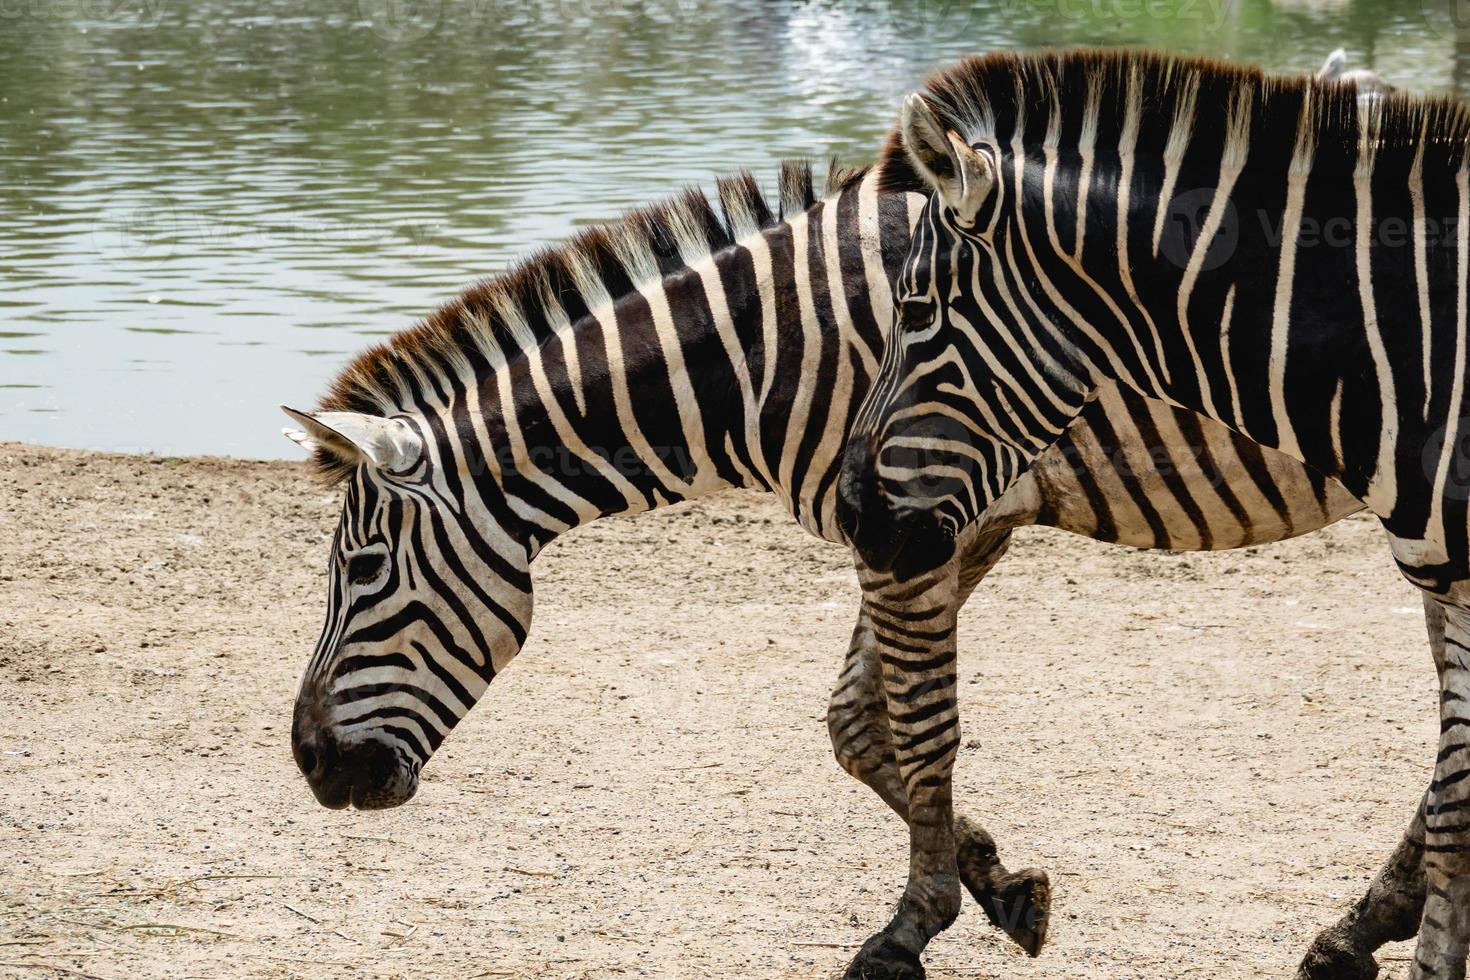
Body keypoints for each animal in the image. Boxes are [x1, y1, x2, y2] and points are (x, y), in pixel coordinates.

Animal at [283, 57, 1399, 975]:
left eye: (364, 571)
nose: (308, 764)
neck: (772, 353)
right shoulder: (941, 528)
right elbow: (858, 726)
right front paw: (999, 885)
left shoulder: (913, 535)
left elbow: (922, 730)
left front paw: (912, 928)